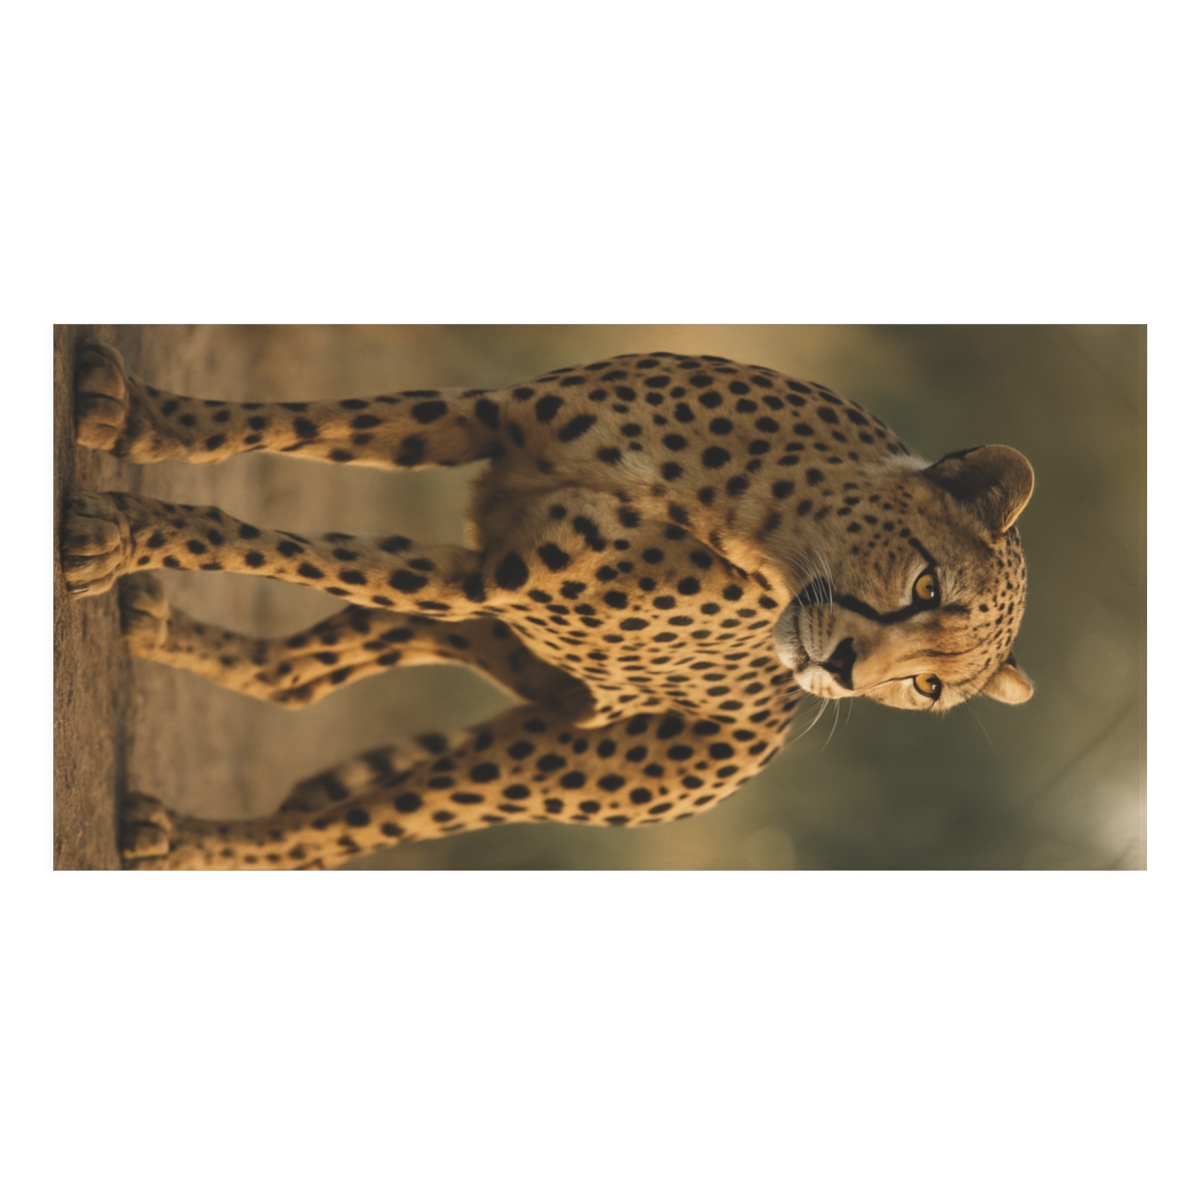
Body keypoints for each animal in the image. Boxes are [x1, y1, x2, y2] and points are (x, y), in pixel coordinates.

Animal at [61, 337, 1035, 869]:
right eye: (926, 586)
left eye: (929, 689)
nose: (842, 671)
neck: (759, 515)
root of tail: (766, 738)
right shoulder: (480, 426)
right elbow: (291, 424)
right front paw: (139, 419)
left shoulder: (478, 578)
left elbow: (269, 545)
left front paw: (122, 530)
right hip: (521, 656)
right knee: (300, 678)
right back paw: (160, 630)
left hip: (529, 765)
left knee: (328, 832)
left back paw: (180, 841)